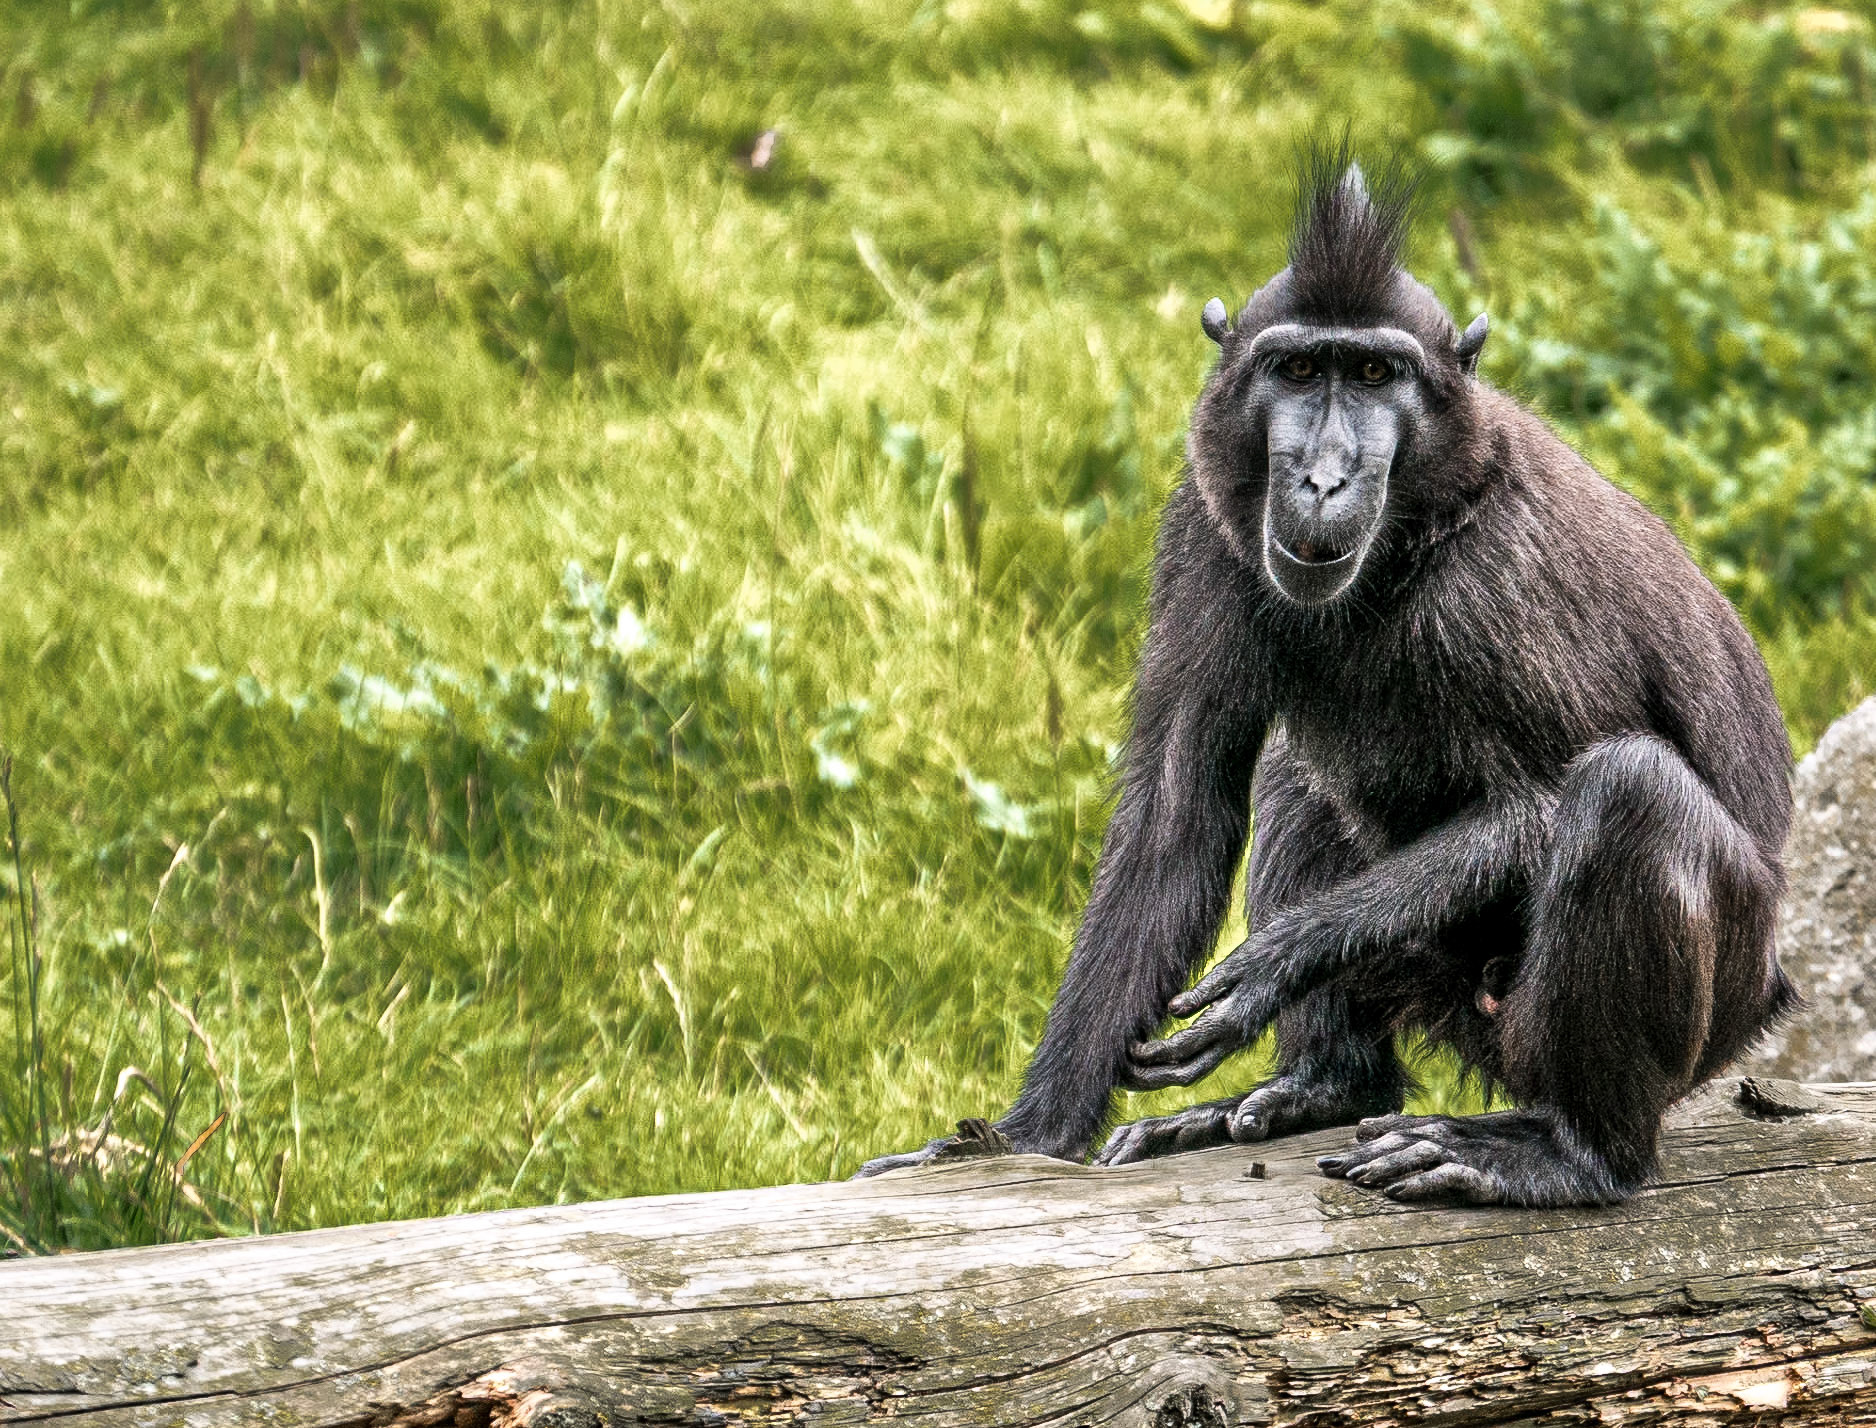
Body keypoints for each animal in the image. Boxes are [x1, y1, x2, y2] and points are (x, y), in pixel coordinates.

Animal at [855, 147, 1798, 1207]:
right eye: (1300, 370)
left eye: (1377, 373)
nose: (1321, 480)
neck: (1418, 529)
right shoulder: (1204, 528)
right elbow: (1175, 811)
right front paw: (1025, 1137)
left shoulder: (1504, 583)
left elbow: (1540, 804)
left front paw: (1279, 962)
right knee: (1297, 773)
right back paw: (1324, 1087)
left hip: (1695, 1004)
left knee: (1629, 792)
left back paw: (1574, 1152)